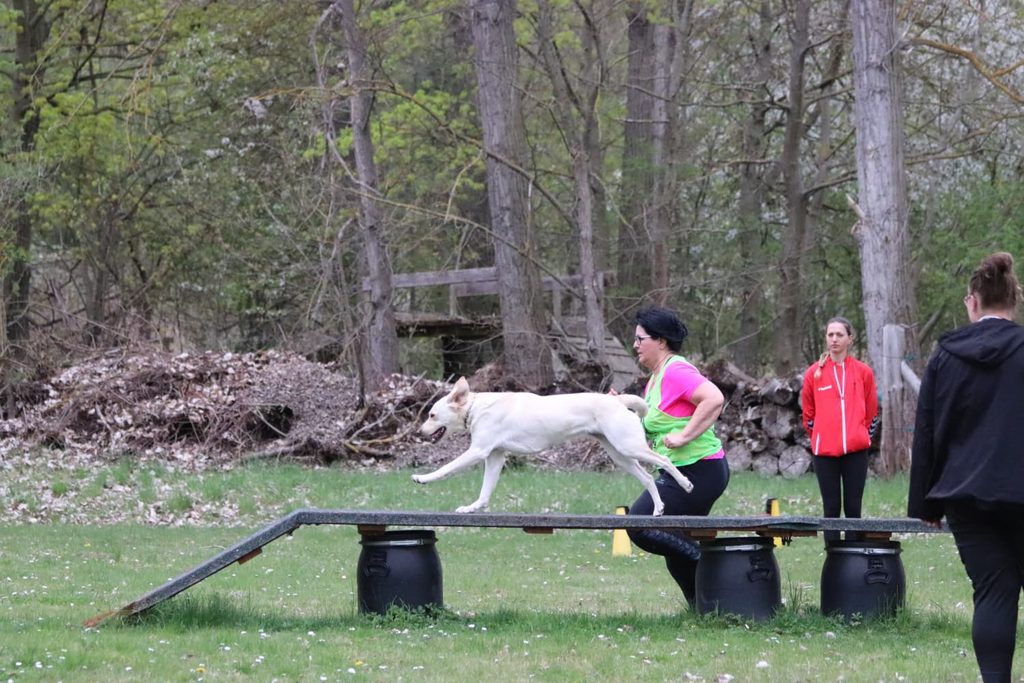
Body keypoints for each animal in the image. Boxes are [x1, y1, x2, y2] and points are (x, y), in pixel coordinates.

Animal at [413, 377, 694, 515]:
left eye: (432, 415)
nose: (418, 432)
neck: (475, 407)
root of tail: (617, 401)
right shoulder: (495, 457)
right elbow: (484, 494)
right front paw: (472, 508)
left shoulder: (478, 451)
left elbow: (446, 468)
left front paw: (422, 478)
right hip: (620, 455)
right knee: (647, 478)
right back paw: (658, 509)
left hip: (629, 447)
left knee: (665, 461)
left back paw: (685, 484)